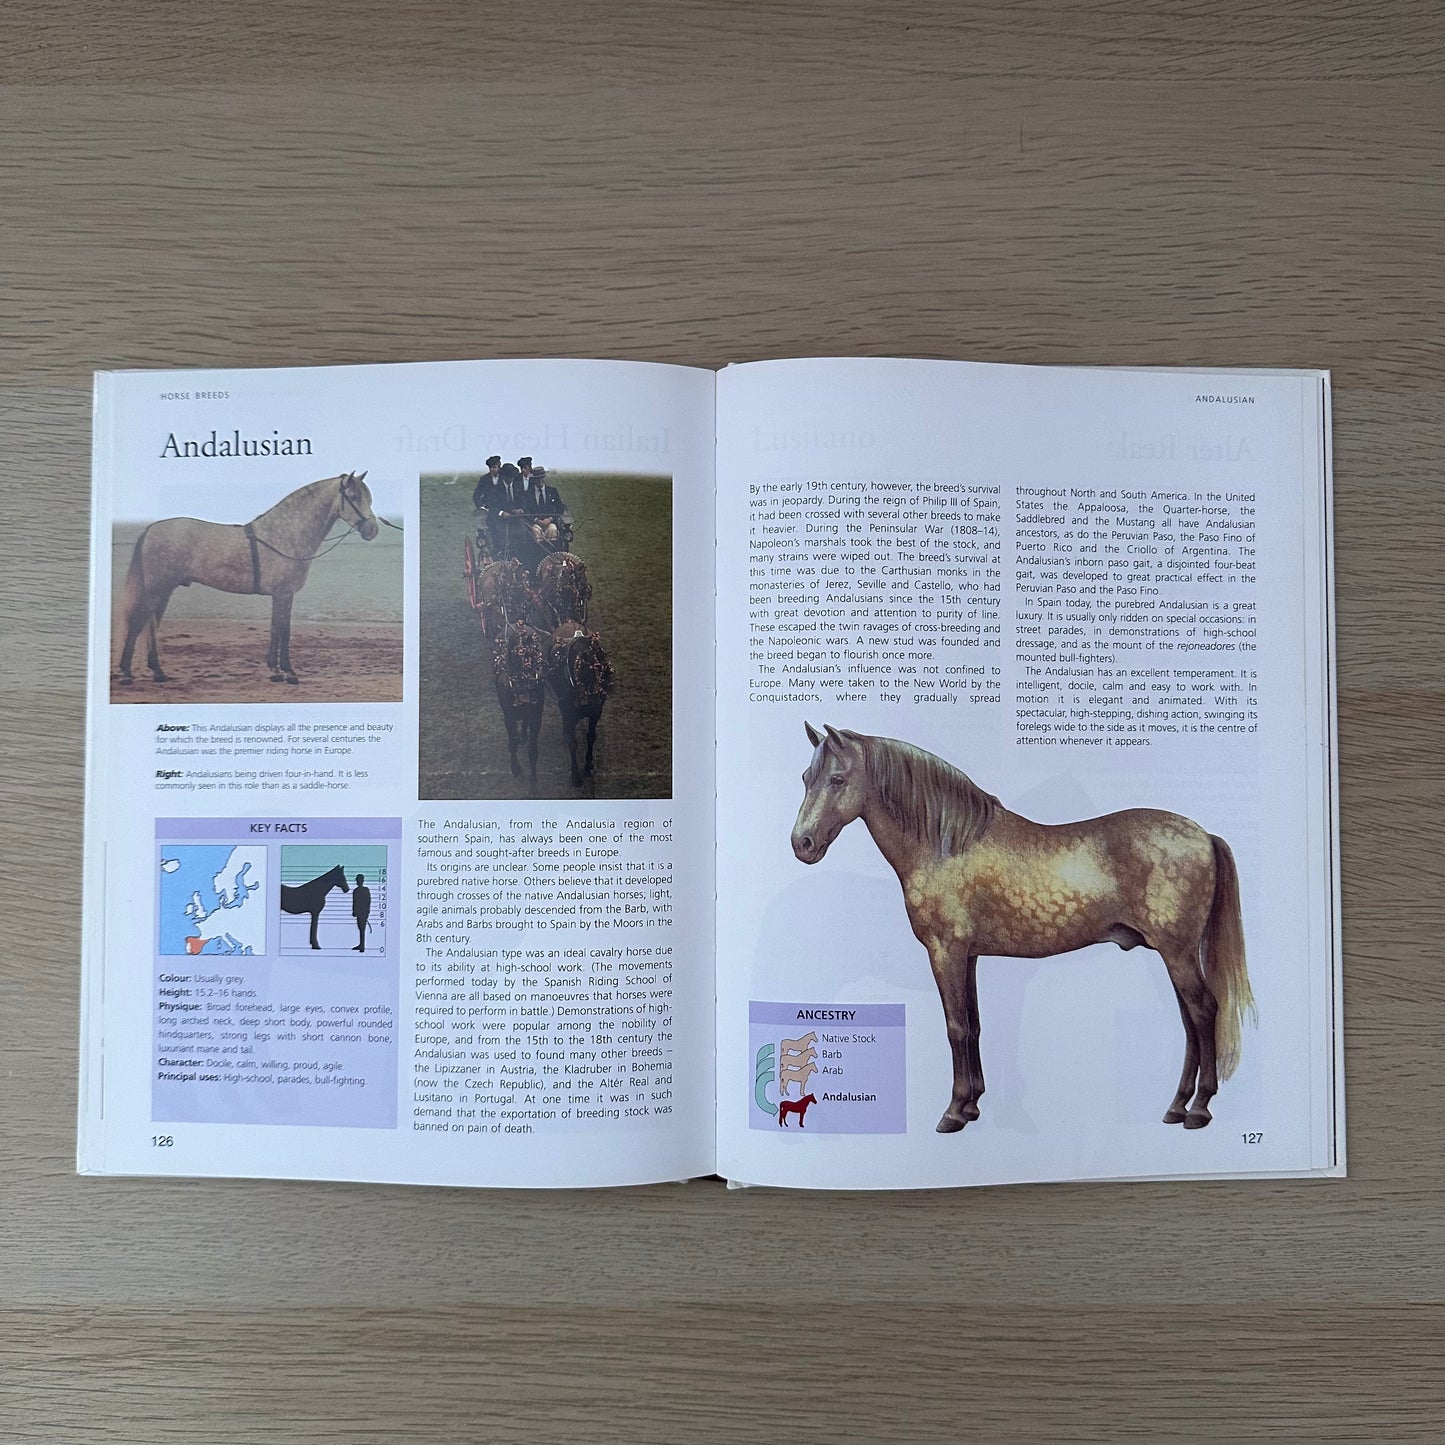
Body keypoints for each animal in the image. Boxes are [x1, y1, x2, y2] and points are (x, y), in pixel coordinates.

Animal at [116, 471, 380, 687]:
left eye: (369, 498)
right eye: (353, 496)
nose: (372, 530)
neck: (286, 533)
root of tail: (151, 529)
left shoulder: (278, 595)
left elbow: (275, 629)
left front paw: (274, 671)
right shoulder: (284, 593)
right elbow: (285, 630)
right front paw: (290, 673)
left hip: (164, 590)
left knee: (151, 625)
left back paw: (158, 672)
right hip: (156, 588)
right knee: (138, 622)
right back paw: (126, 674)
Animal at [490, 620, 549, 786]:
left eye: (533, 657)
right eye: (514, 659)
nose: (523, 690)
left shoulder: (536, 715)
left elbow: (533, 750)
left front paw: (533, 784)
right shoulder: (509, 716)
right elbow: (512, 741)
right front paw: (515, 768)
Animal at [547, 621, 615, 786]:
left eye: (601, 667)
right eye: (581, 672)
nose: (594, 702)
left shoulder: (596, 713)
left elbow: (591, 736)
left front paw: (589, 766)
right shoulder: (568, 713)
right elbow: (572, 741)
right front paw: (575, 775)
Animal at [791, 725, 1255, 1135]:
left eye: (837, 779)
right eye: (806, 778)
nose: (802, 844)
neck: (947, 845)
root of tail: (1204, 835)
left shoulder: (945, 952)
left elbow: (955, 1027)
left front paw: (953, 1112)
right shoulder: (968, 956)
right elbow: (974, 1024)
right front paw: (972, 1104)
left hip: (1178, 953)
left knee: (1203, 1011)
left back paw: (1198, 1108)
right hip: (1175, 953)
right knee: (1190, 1019)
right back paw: (1177, 1106)